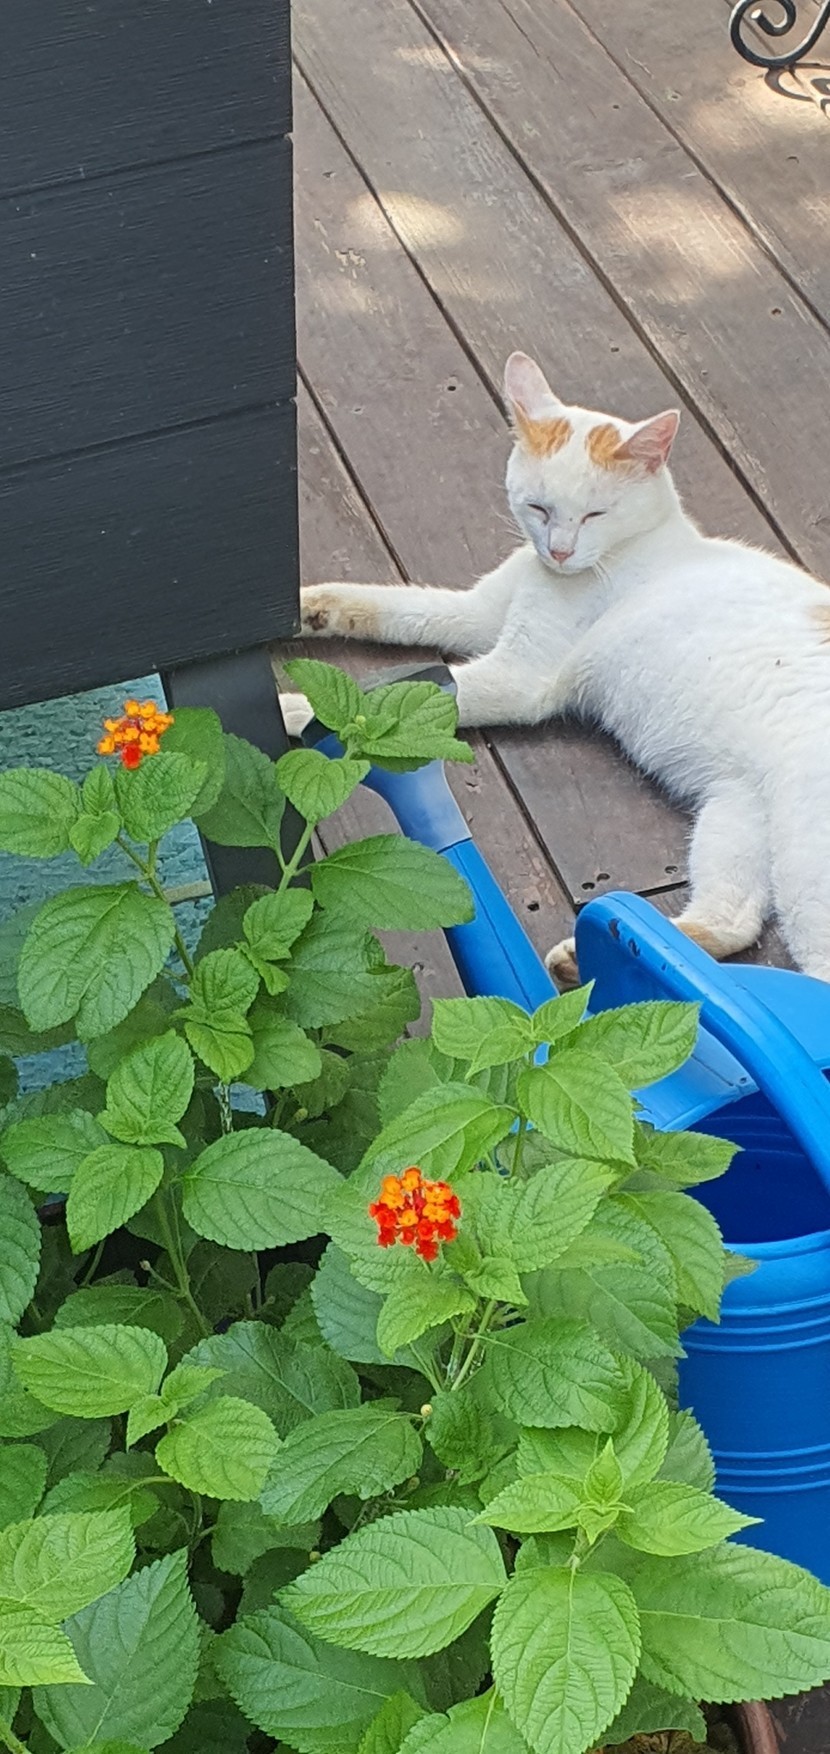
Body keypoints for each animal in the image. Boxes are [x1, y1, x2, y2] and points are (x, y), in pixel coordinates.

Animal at [281, 350, 830, 987]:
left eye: (595, 514)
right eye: (538, 508)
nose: (560, 551)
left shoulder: (520, 677)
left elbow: (404, 697)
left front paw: (292, 708)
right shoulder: (477, 613)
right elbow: (391, 608)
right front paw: (305, 608)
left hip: (804, 860)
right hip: (734, 815)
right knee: (735, 918)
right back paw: (598, 958)